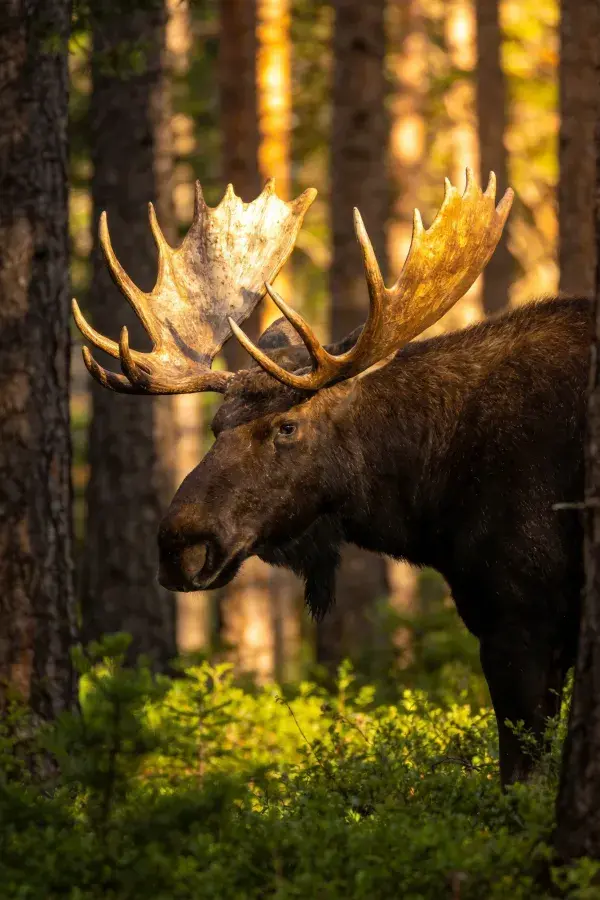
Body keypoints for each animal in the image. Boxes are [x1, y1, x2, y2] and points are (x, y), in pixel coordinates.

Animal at [73, 171, 588, 786]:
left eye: (287, 426)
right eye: (215, 425)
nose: (180, 546)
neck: (435, 498)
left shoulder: (522, 617)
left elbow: (519, 779)